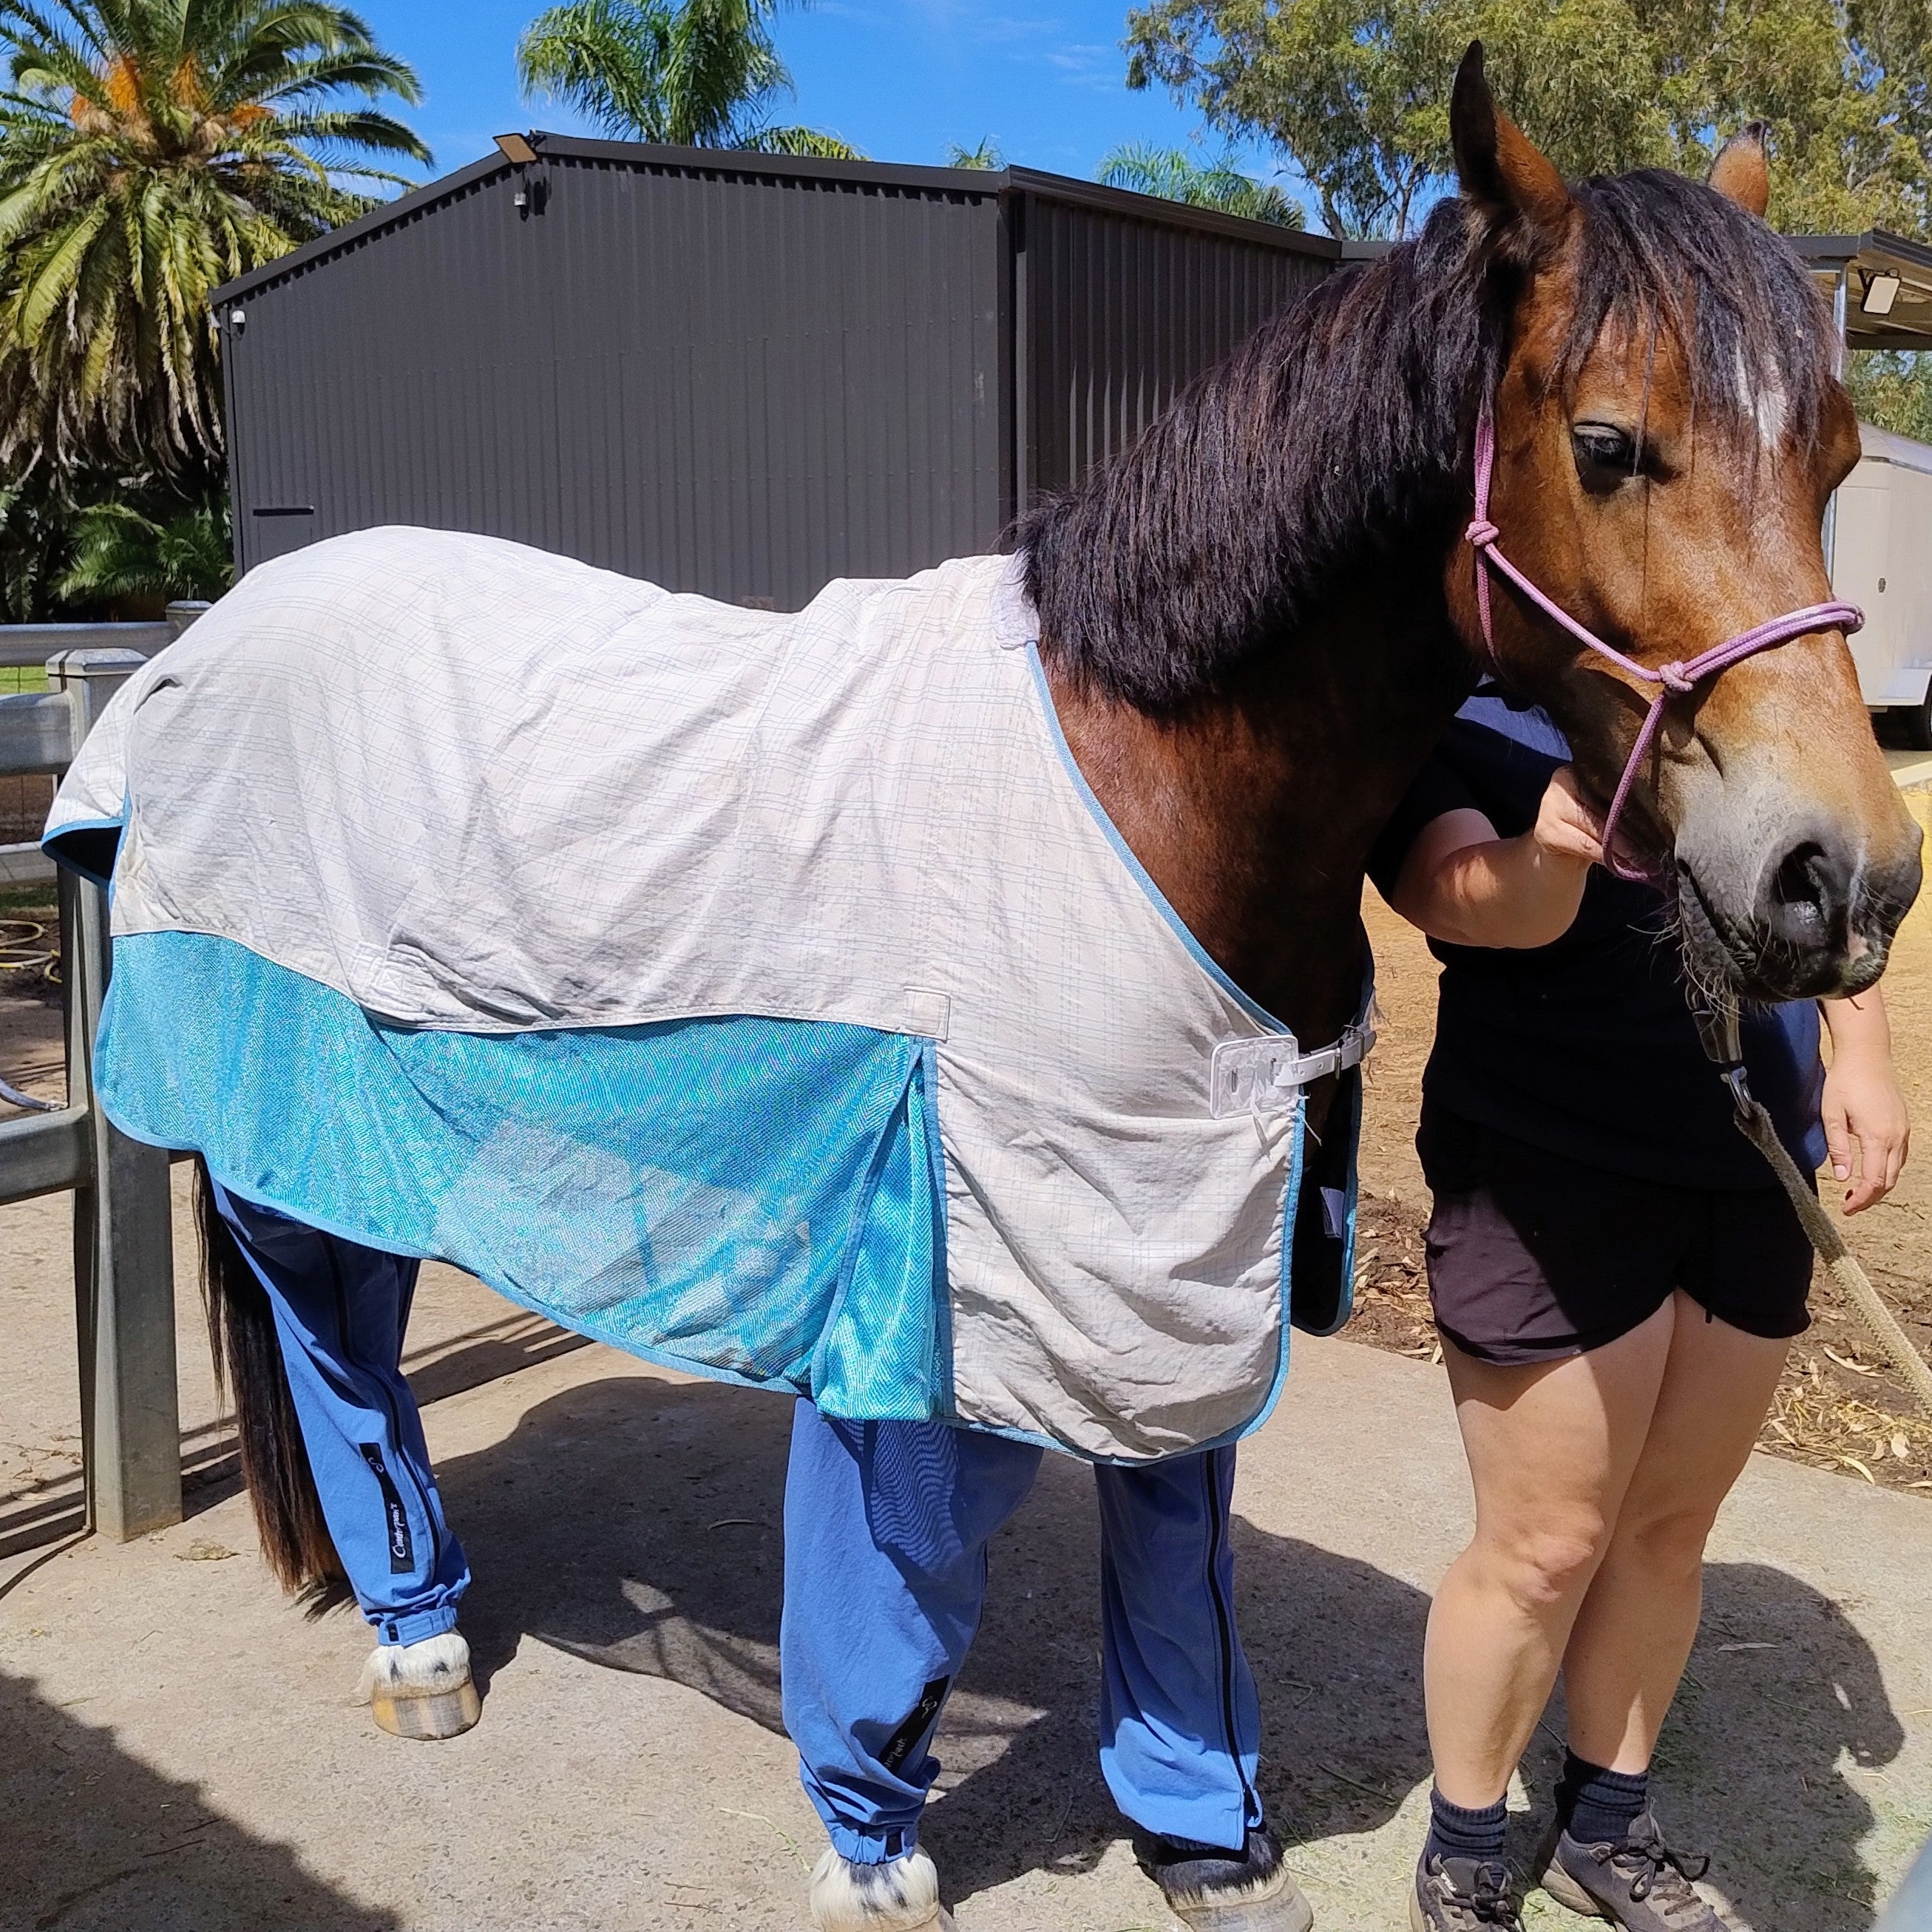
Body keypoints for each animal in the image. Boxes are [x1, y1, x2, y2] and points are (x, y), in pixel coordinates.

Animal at [43, 48, 1922, 1932]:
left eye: (1838, 458)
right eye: (1606, 446)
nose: (1840, 880)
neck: (1146, 772)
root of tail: (221, 627)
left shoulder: (1175, 1238)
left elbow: (1171, 1553)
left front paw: (1206, 1846)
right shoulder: (953, 1249)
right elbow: (898, 1592)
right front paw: (872, 1852)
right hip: (294, 1103)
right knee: (339, 1342)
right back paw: (417, 1638)